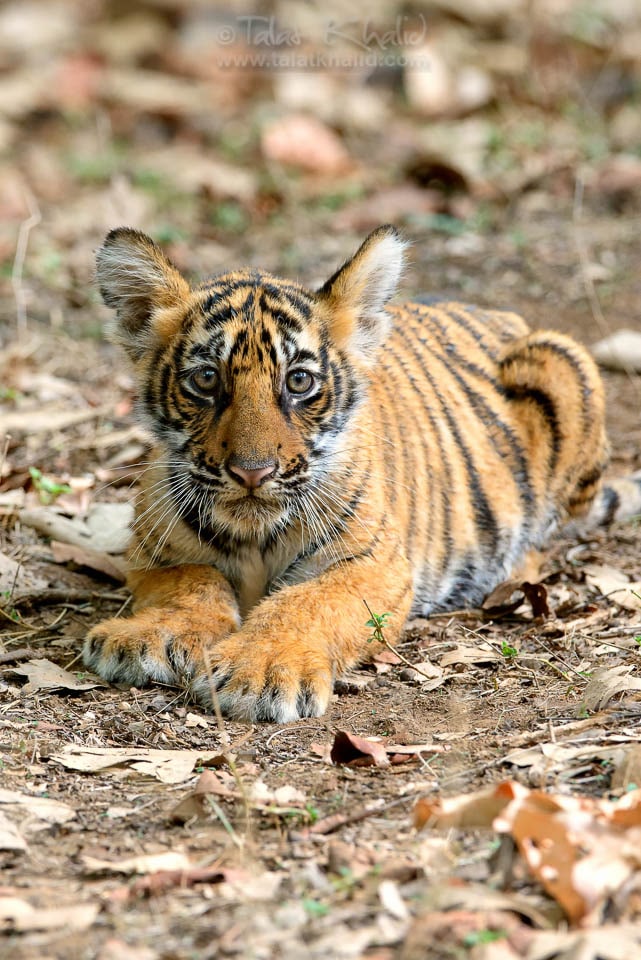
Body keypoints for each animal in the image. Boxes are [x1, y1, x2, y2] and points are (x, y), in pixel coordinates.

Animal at [83, 224, 641, 722]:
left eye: (299, 381)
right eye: (205, 379)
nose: (252, 472)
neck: (255, 534)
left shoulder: (375, 565)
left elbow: (308, 602)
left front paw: (259, 670)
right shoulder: (154, 555)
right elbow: (192, 581)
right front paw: (145, 637)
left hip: (559, 358)